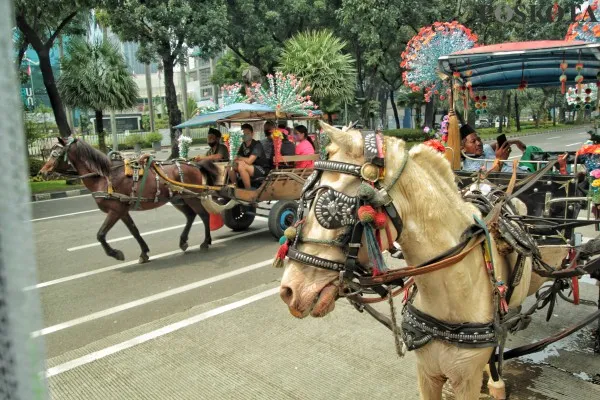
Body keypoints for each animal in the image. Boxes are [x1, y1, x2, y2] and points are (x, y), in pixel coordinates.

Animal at [40, 136, 223, 264]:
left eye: (55, 153)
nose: (42, 172)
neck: (104, 176)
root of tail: (193, 164)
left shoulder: (115, 210)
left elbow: (100, 235)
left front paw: (115, 254)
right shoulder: (122, 211)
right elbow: (134, 231)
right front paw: (144, 253)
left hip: (192, 197)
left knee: (203, 215)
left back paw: (205, 242)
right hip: (179, 198)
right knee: (191, 216)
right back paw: (184, 241)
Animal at [278, 122, 564, 400]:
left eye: (332, 208)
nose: (290, 290)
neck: (452, 291)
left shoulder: (465, 380)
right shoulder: (427, 373)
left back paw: (495, 379)